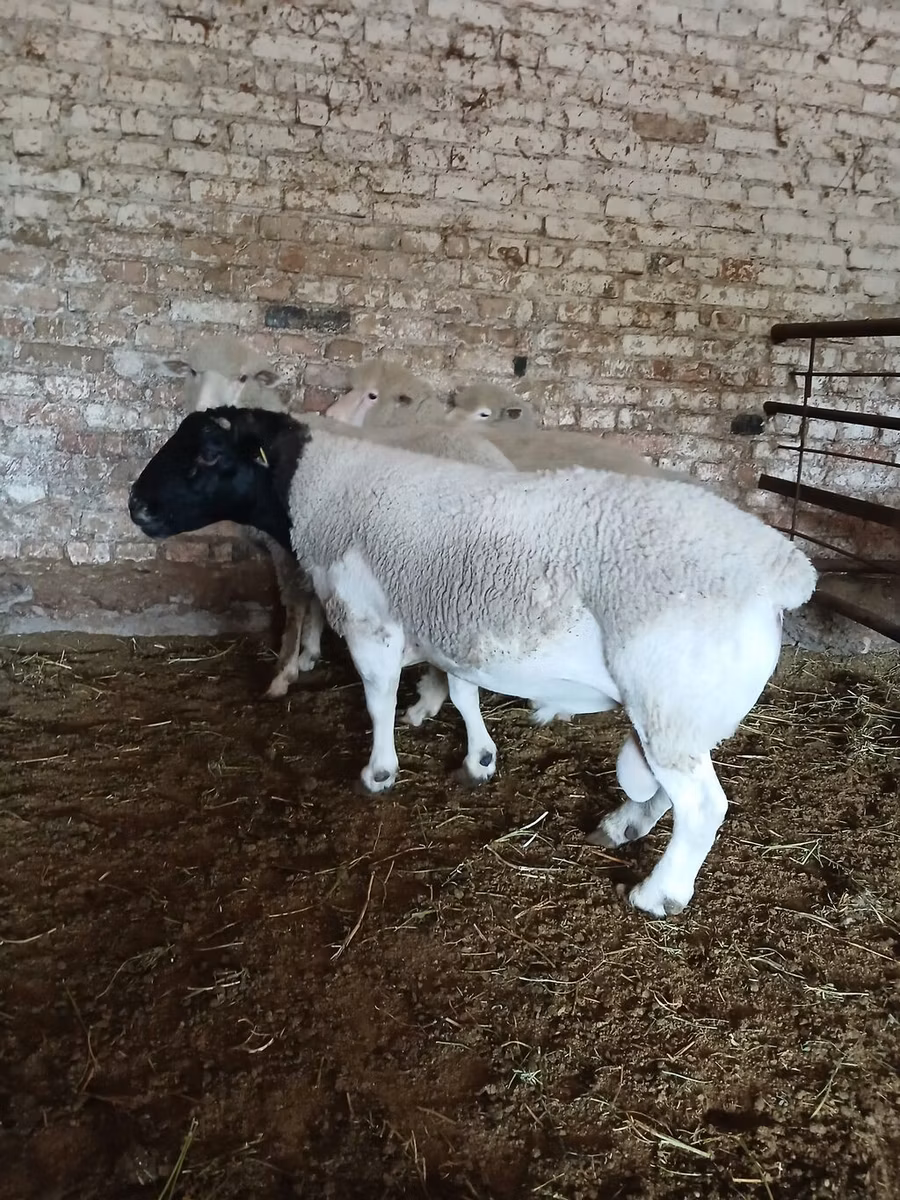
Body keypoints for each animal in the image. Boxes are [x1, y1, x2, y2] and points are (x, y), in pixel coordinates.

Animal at [129, 407, 816, 918]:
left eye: (209, 456)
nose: (136, 506)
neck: (318, 489)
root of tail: (784, 571)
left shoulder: (371, 622)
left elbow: (377, 695)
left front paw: (379, 772)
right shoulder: (452, 628)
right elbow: (462, 693)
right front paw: (478, 758)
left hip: (670, 701)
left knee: (701, 806)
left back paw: (657, 893)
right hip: (680, 714)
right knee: (665, 794)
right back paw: (621, 826)